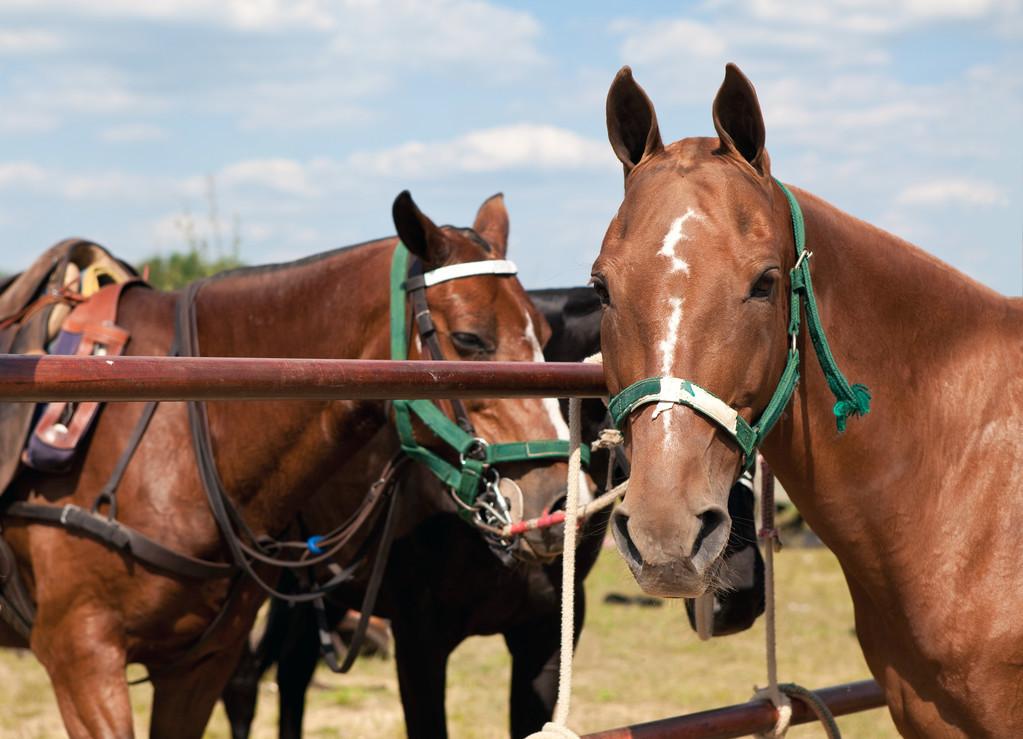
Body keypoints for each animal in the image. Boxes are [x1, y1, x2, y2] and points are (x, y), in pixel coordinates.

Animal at [0, 191, 576, 736]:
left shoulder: (197, 668)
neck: (175, 424)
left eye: (546, 338)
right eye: (468, 339)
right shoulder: (83, 660)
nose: (557, 499)